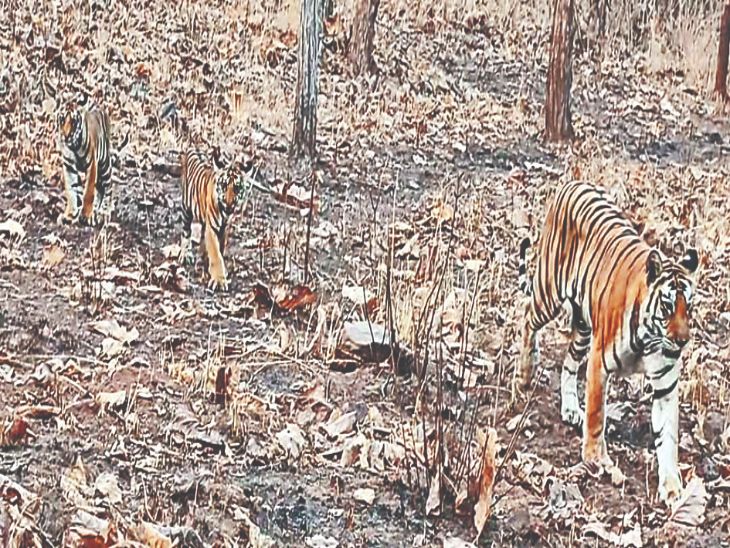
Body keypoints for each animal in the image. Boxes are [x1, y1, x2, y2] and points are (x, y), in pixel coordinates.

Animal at [179, 149, 268, 291]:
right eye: (224, 185)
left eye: (237, 188)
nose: (229, 204)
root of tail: (194, 147)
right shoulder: (212, 228)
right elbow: (216, 254)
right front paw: (219, 280)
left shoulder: (224, 228)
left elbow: (220, 248)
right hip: (186, 208)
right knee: (186, 232)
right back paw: (186, 255)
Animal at [514, 180, 698, 504]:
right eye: (666, 307)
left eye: (688, 308)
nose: (682, 341)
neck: (651, 337)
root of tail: (572, 182)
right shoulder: (599, 363)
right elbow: (596, 416)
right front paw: (593, 460)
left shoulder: (666, 384)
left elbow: (668, 437)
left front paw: (673, 488)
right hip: (549, 294)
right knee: (527, 316)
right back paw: (525, 375)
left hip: (584, 327)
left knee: (568, 363)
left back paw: (569, 408)